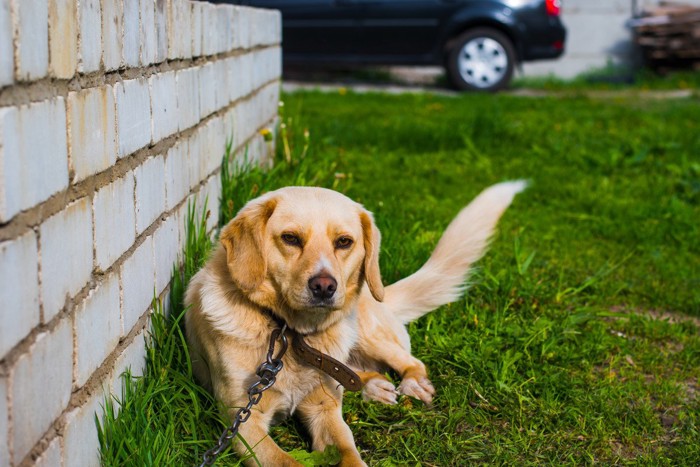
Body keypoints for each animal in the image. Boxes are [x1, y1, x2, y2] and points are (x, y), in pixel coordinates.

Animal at [186, 182, 524, 464]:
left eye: (344, 242)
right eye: (290, 239)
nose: (324, 286)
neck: (290, 334)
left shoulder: (324, 409)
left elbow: (350, 454)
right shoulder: (243, 420)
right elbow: (284, 461)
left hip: (364, 330)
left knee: (410, 361)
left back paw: (411, 383)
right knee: (360, 372)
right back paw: (375, 386)